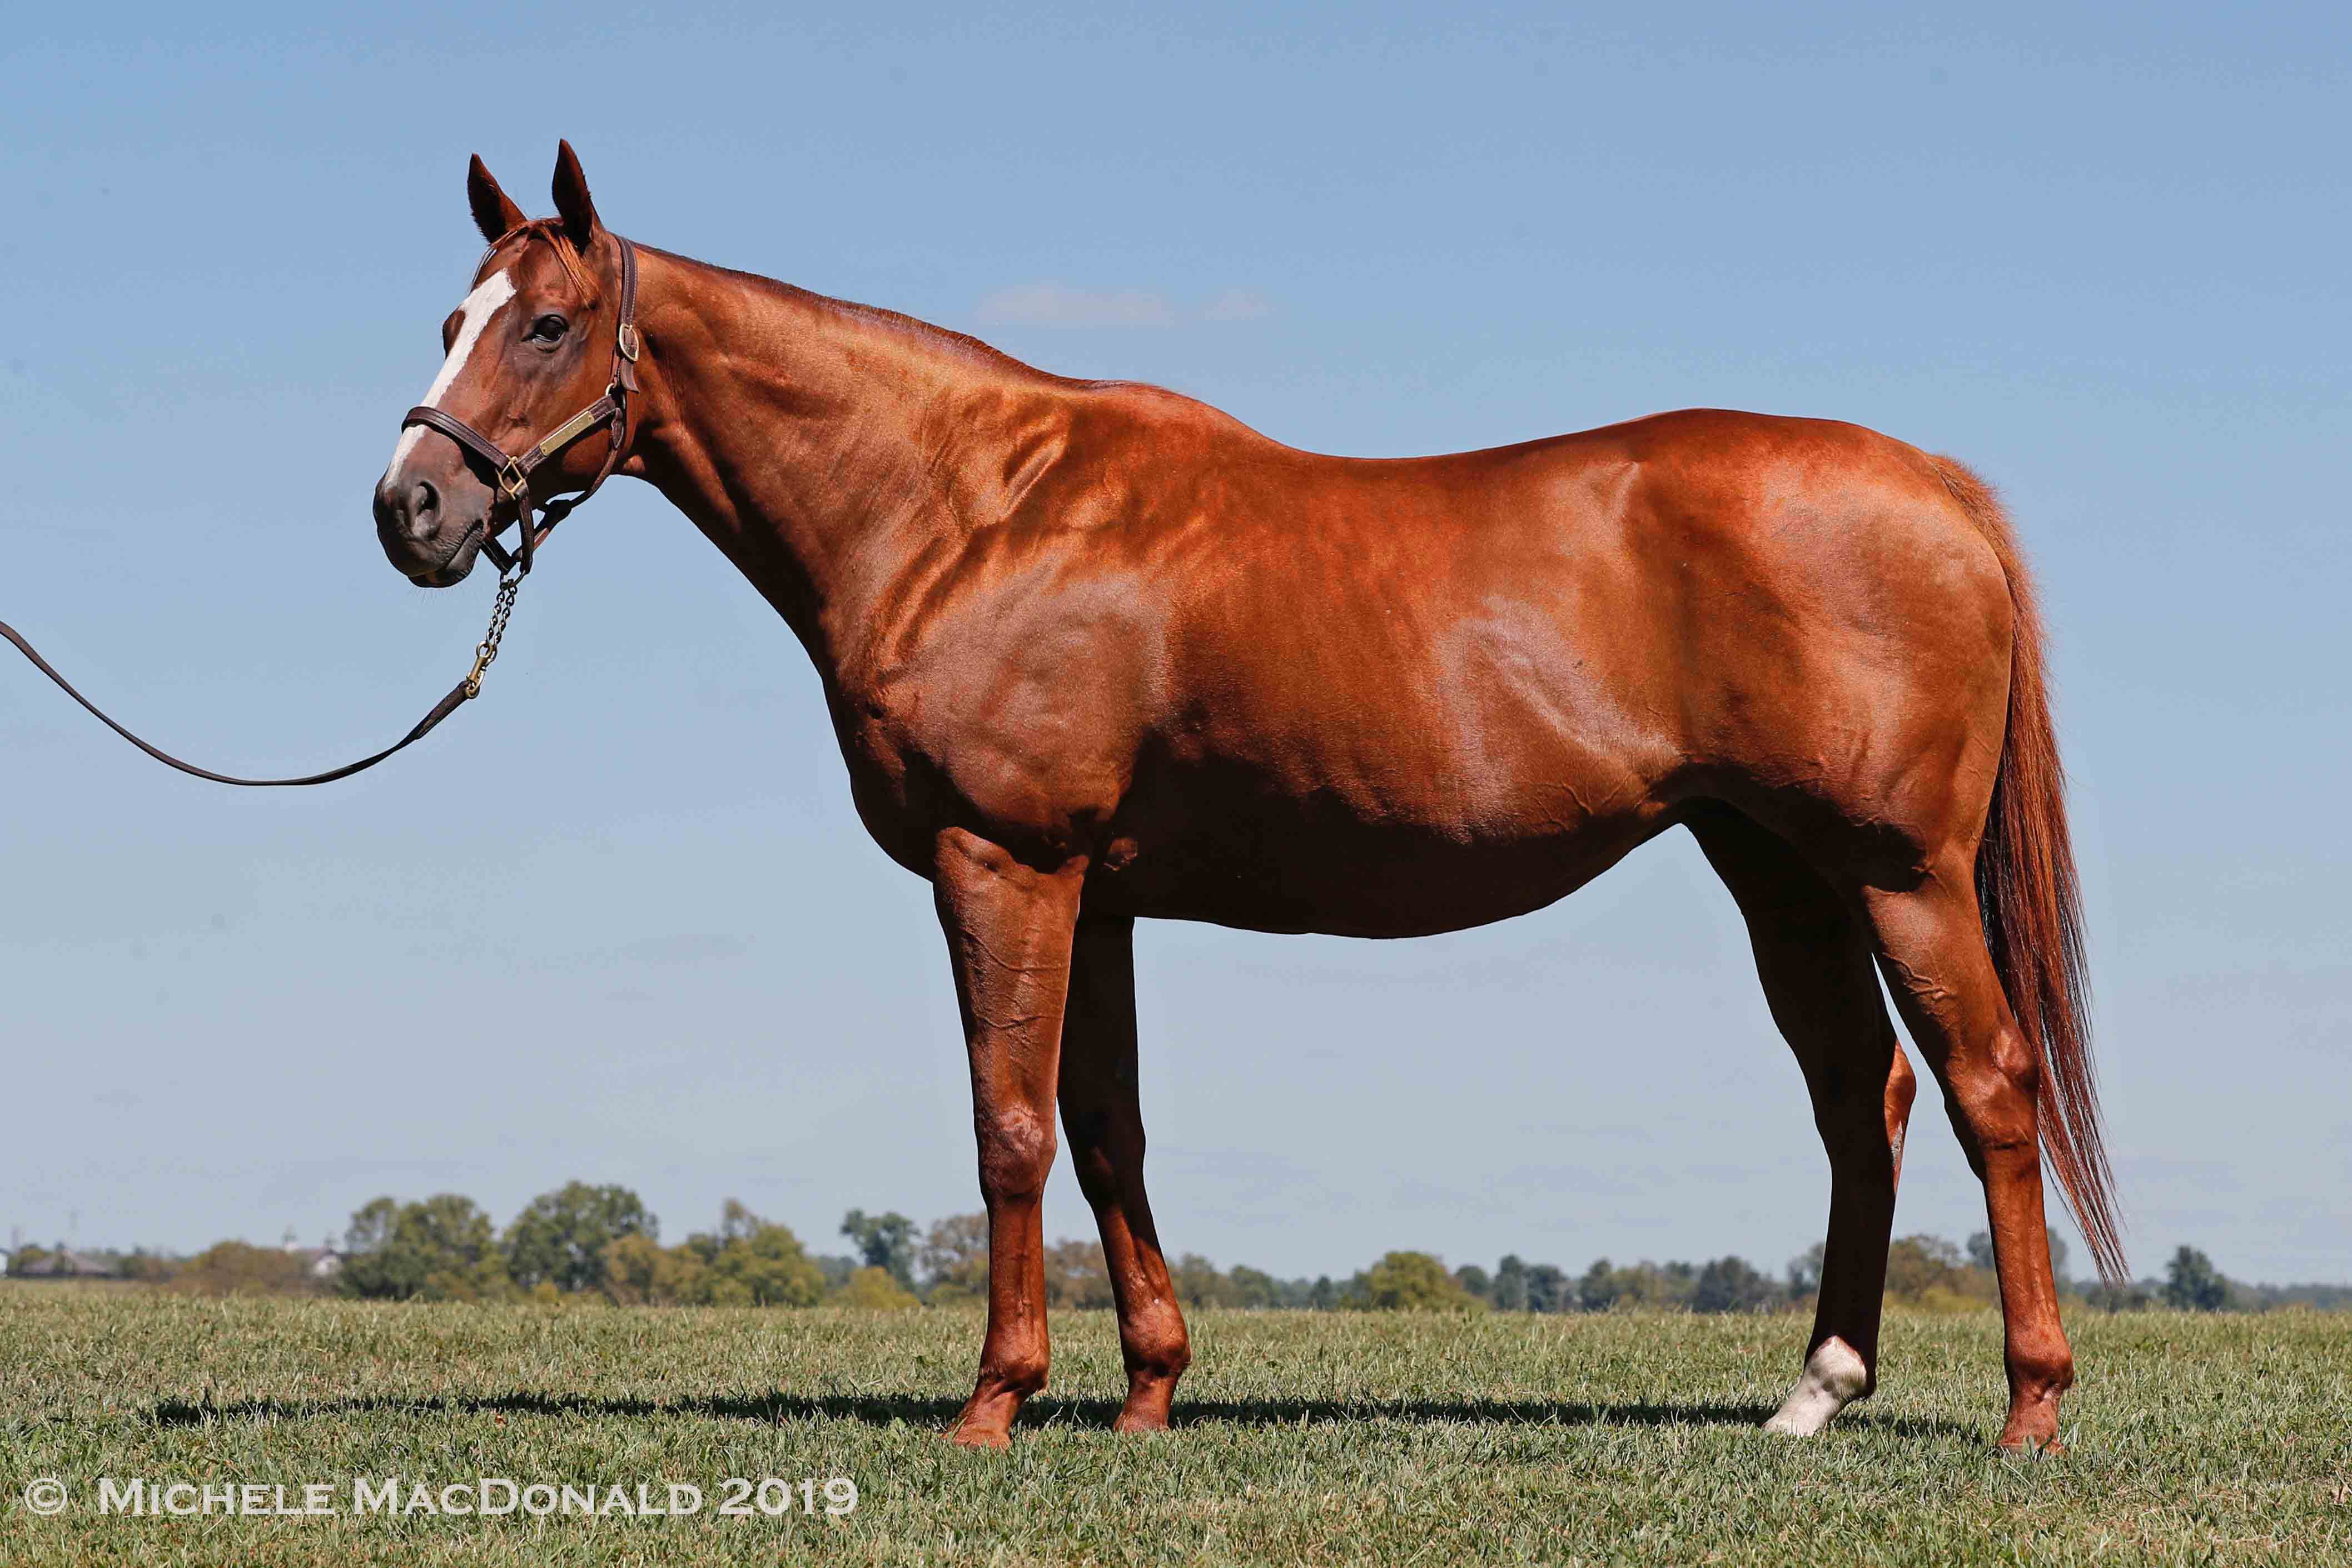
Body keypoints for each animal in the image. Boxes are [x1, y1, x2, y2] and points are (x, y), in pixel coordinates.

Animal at [376, 144, 2126, 1448]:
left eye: (543, 325)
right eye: (453, 313)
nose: (413, 508)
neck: (971, 511)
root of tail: (1935, 489)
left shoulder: (1003, 862)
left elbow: (1007, 1127)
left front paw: (994, 1402)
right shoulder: (1096, 894)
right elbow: (1107, 1131)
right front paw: (1147, 1390)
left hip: (1896, 871)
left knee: (1985, 1086)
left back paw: (2029, 1408)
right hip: (1775, 870)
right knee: (1858, 1098)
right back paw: (1814, 1393)